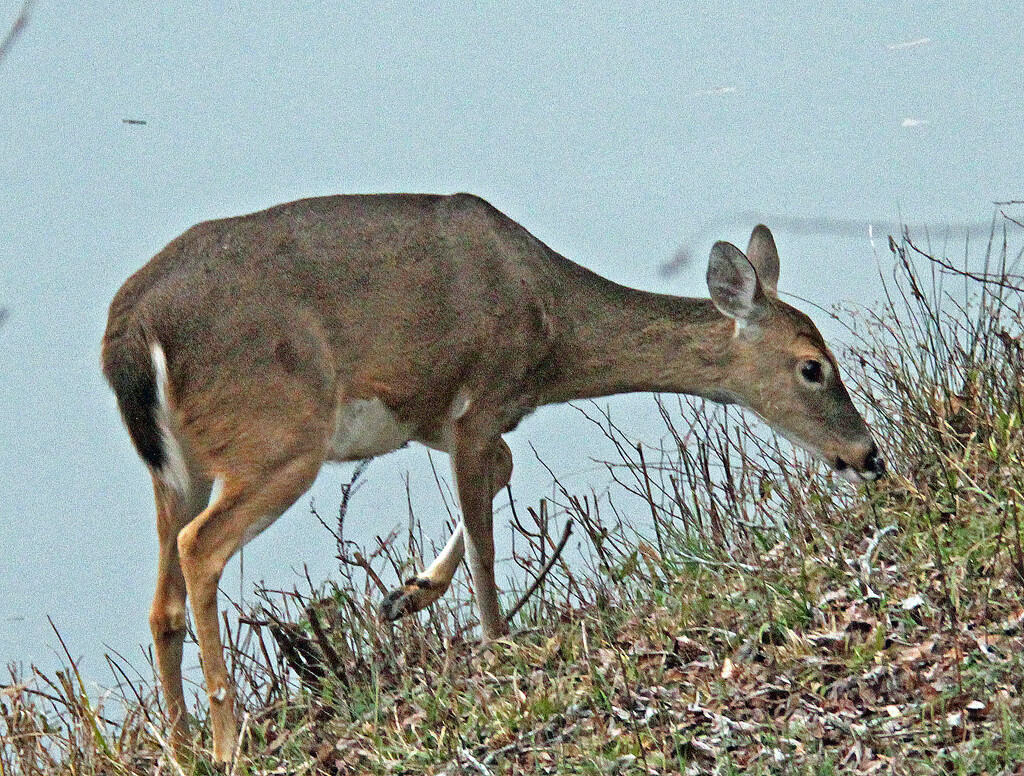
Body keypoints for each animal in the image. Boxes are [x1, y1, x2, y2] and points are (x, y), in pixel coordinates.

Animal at [105, 191, 888, 761]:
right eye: (813, 367)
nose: (868, 455)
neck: (552, 333)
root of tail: (130, 334)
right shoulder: (479, 399)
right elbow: (487, 543)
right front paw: (494, 641)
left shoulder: (438, 413)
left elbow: (502, 477)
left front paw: (407, 593)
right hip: (278, 435)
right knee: (201, 549)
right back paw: (225, 742)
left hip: (179, 468)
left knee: (162, 601)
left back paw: (182, 749)